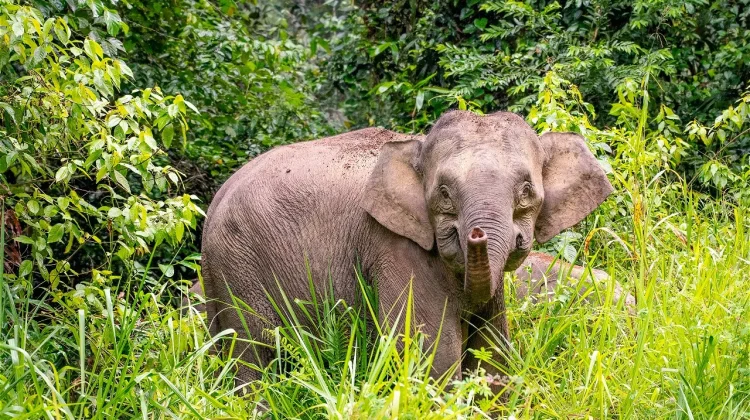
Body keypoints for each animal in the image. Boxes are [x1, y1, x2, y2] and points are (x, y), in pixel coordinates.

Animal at [200, 110, 614, 383]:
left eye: (526, 191)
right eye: (444, 194)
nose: (476, 235)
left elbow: (492, 348)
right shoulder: (395, 247)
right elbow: (433, 354)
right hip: (239, 269)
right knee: (252, 355)